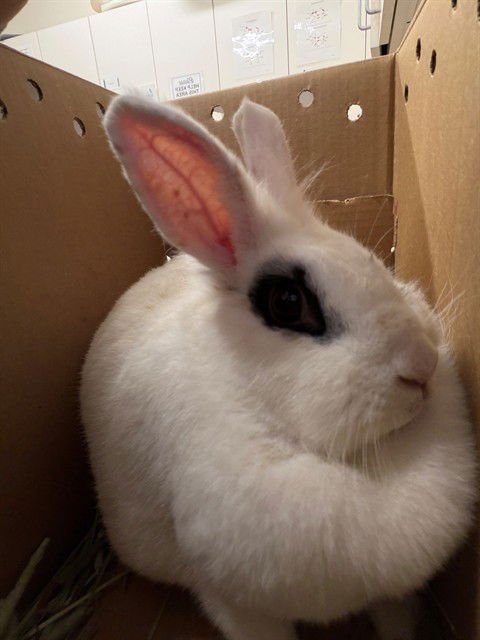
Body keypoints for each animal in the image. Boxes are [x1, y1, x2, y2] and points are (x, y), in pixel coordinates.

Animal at [80, 95, 477, 640]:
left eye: (372, 261)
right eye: (288, 304)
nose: (422, 365)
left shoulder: (396, 592)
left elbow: (398, 618)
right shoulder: (235, 603)